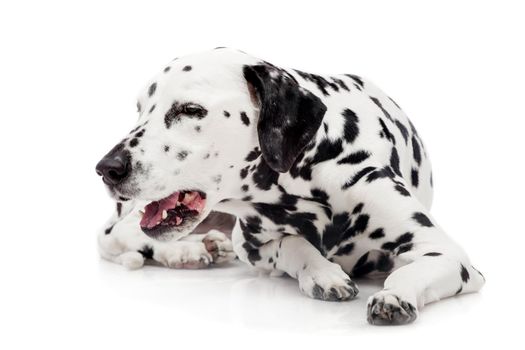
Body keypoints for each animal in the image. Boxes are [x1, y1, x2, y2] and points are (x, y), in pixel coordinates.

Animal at [95, 48, 484, 326]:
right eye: (141, 110)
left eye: (189, 110)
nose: (106, 168)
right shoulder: (251, 246)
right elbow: (293, 245)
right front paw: (323, 273)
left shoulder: (449, 255)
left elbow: (412, 269)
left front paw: (395, 295)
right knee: (116, 234)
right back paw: (185, 251)